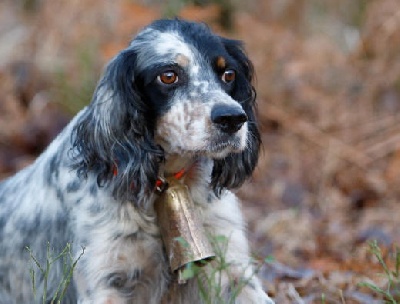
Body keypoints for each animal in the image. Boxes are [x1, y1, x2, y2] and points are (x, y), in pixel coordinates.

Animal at [0, 19, 274, 304]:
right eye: (168, 76)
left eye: (228, 74)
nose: (232, 119)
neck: (164, 180)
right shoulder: (107, 282)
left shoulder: (231, 265)